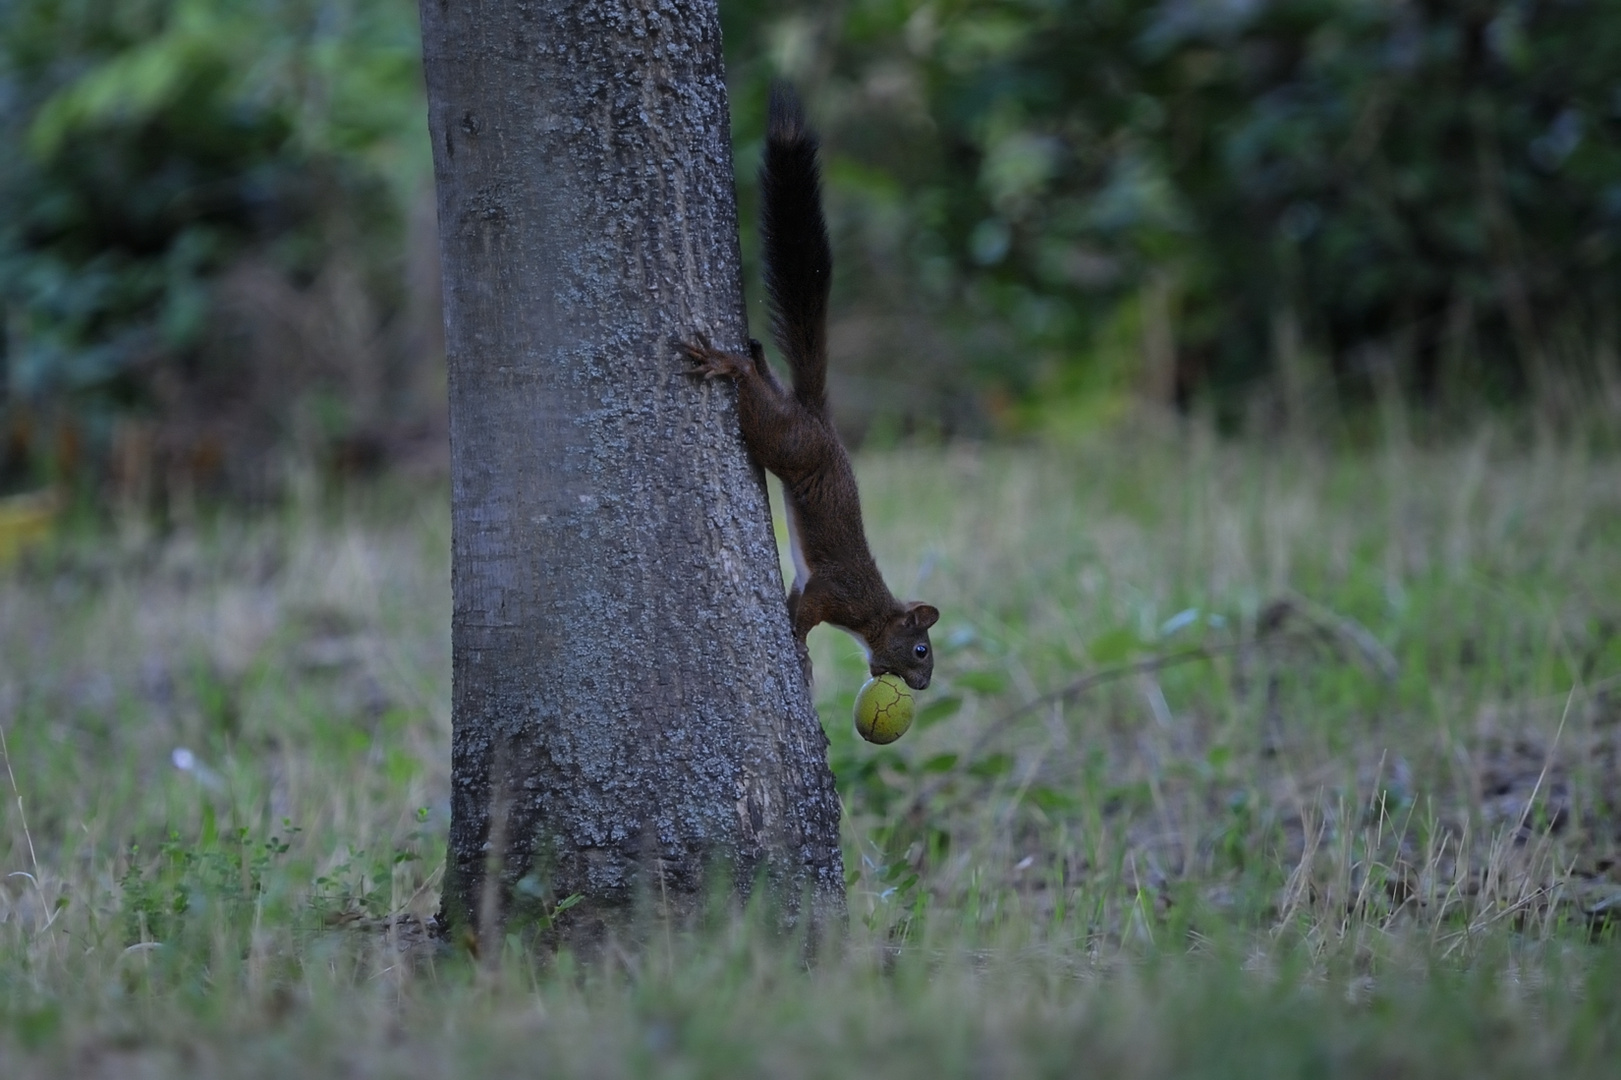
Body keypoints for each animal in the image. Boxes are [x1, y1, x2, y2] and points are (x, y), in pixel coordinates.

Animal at [680, 84, 940, 690]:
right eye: (920, 651)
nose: (924, 686)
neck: (875, 614)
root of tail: (818, 418)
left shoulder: (806, 582)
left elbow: (796, 596)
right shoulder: (835, 592)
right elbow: (808, 613)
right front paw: (799, 647)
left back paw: (753, 358)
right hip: (789, 443)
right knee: (760, 410)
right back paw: (732, 365)